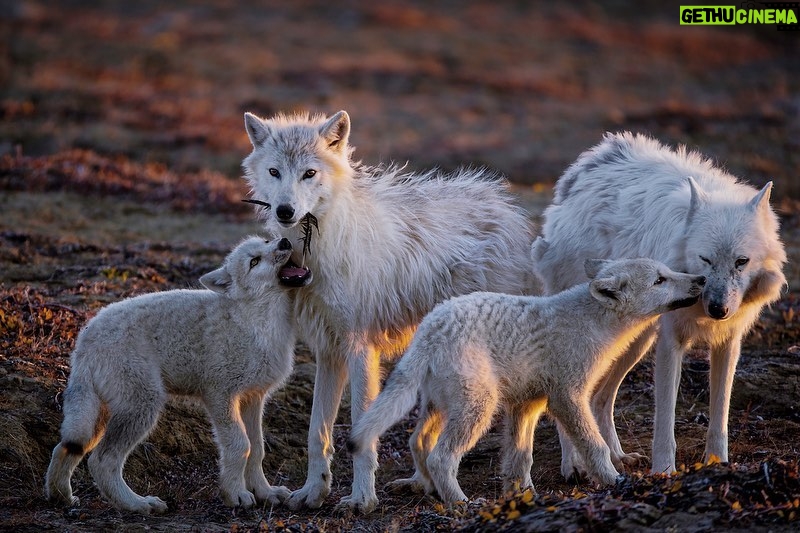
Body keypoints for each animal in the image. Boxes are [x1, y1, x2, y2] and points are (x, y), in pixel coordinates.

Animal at [44, 235, 312, 512]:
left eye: (267, 241)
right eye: (254, 262)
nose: (284, 241)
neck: (256, 321)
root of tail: (84, 340)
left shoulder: (253, 398)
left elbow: (257, 449)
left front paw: (265, 492)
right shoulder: (220, 396)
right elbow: (240, 446)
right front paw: (235, 495)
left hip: (98, 417)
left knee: (64, 448)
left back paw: (61, 497)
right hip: (143, 407)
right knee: (101, 461)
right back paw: (138, 504)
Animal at [239, 109, 536, 512]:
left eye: (309, 173)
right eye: (274, 172)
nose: (286, 211)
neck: (318, 248)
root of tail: (509, 211)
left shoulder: (360, 350)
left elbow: (362, 434)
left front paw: (362, 499)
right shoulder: (328, 353)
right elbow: (318, 433)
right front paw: (313, 492)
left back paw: (525, 485)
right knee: (423, 439)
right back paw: (421, 483)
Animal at [346, 258, 704, 502]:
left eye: (667, 272)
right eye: (660, 280)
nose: (700, 278)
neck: (592, 323)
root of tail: (429, 330)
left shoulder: (528, 403)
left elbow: (520, 457)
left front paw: (519, 495)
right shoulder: (568, 396)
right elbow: (594, 446)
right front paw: (613, 480)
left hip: (442, 406)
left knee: (417, 442)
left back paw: (432, 491)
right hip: (479, 408)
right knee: (440, 457)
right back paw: (461, 503)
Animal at [532, 132, 788, 474]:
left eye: (741, 261)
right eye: (705, 259)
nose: (717, 309)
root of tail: (590, 163)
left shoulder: (729, 342)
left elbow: (719, 414)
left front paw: (718, 463)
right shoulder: (671, 342)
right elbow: (665, 419)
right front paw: (664, 471)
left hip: (633, 342)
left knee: (600, 398)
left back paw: (618, 456)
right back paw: (573, 464)